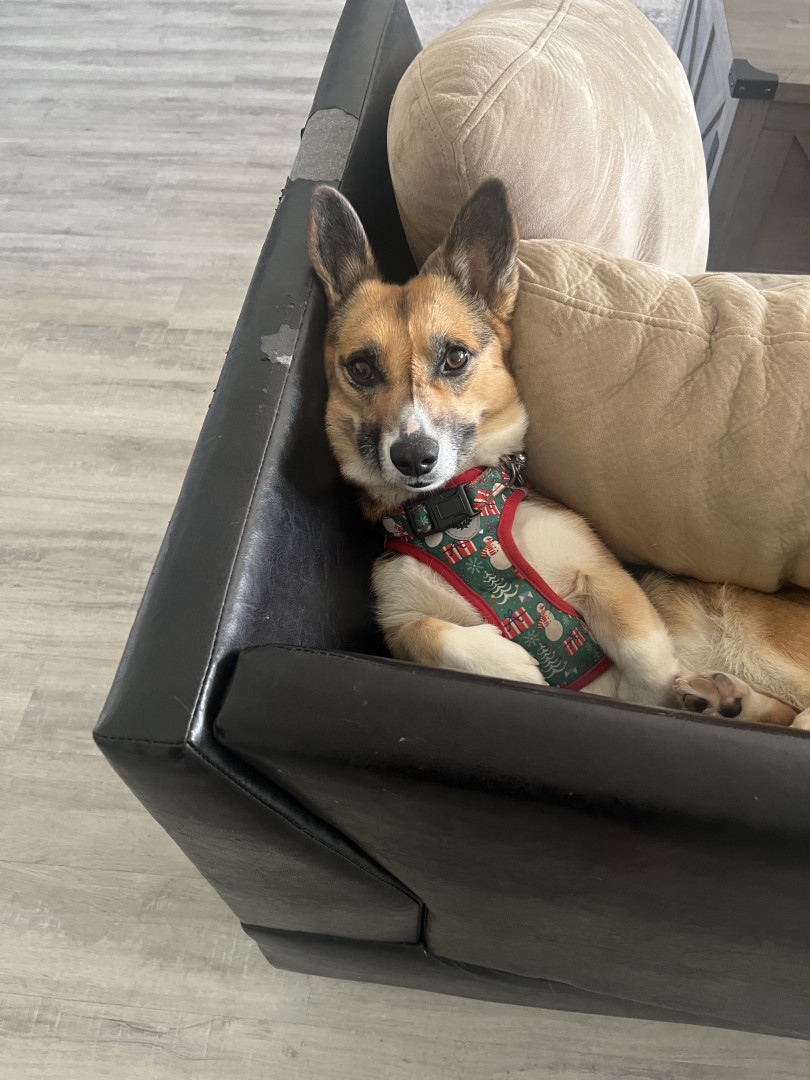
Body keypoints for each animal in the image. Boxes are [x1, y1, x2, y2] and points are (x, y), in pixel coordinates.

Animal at [308, 178, 810, 730]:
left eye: (455, 358)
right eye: (360, 368)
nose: (415, 457)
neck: (457, 515)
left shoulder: (605, 577)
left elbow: (646, 655)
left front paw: (646, 696)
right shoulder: (397, 620)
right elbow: (428, 633)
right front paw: (509, 665)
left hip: (755, 639)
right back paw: (725, 701)